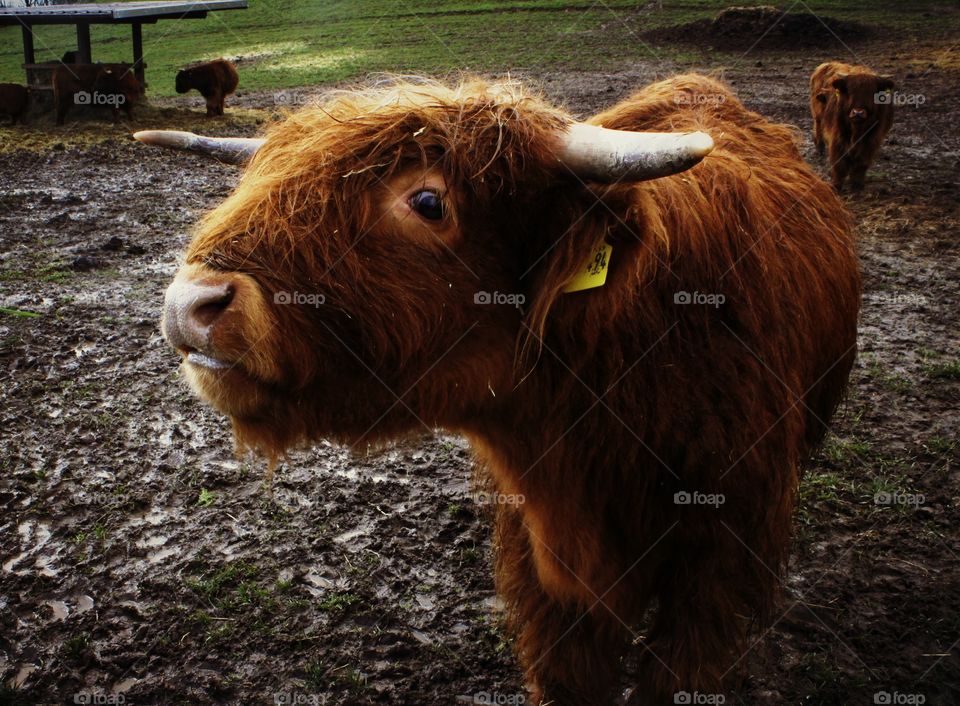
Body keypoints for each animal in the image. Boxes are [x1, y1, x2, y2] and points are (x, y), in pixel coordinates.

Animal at [810, 60, 895, 191]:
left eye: (872, 93)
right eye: (850, 91)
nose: (858, 113)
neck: (857, 132)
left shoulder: (872, 139)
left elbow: (861, 163)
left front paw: (857, 185)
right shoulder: (837, 137)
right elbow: (839, 163)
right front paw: (836, 185)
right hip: (817, 112)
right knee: (818, 125)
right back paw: (819, 148)